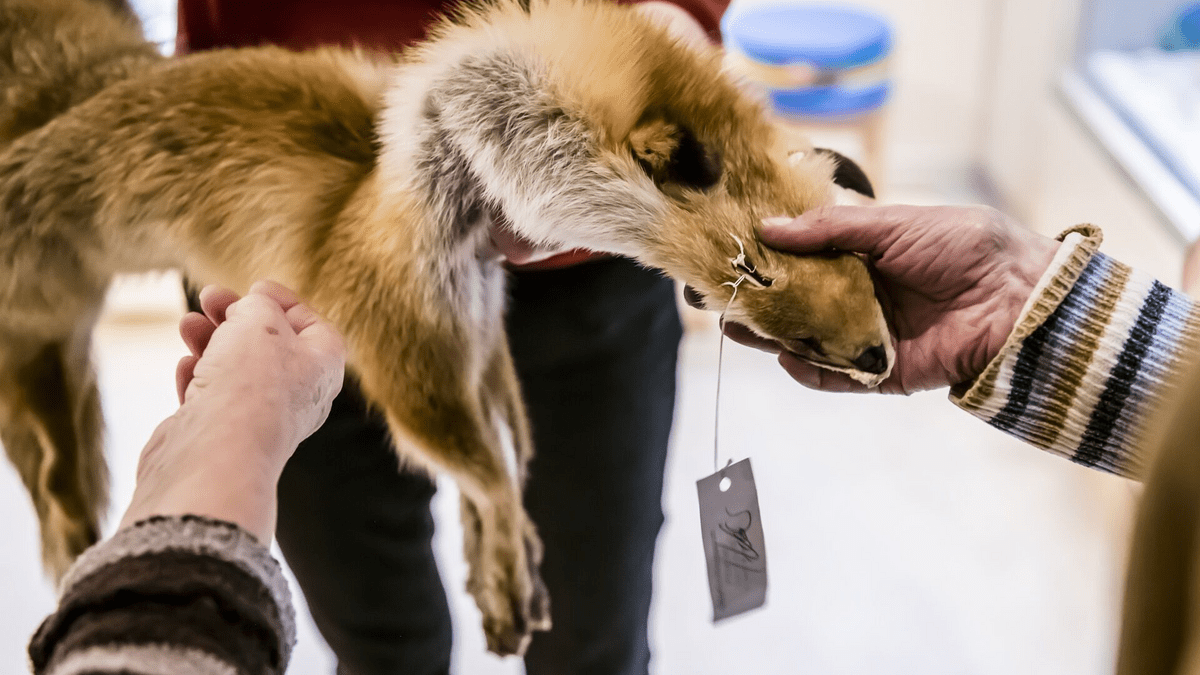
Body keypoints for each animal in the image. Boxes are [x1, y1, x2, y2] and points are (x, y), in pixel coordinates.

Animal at [0, 0, 892, 654]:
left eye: (849, 254)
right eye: (752, 269)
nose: (880, 358)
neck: (442, 217)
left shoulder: (483, 336)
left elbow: (509, 459)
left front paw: (497, 560)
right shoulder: (410, 374)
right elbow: (489, 476)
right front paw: (505, 581)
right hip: (45, 368)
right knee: (59, 491)